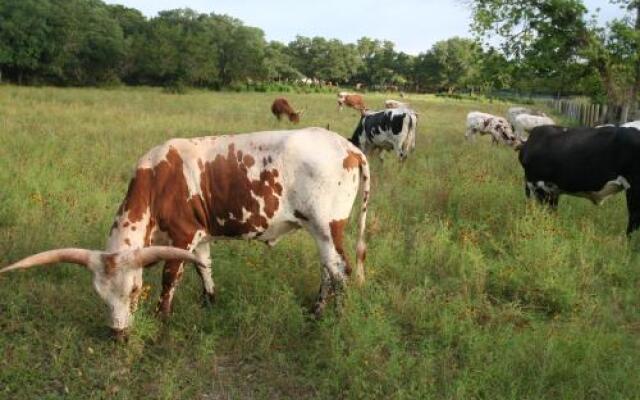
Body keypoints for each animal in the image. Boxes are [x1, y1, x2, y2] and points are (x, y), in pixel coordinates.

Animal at [1, 127, 370, 338]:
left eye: (134, 291)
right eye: (99, 295)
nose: (118, 334)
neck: (158, 180)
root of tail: (347, 147)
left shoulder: (183, 235)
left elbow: (170, 277)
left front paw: (161, 318)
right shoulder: (199, 236)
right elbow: (203, 267)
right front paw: (210, 303)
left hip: (326, 226)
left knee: (340, 272)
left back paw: (332, 320)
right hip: (320, 232)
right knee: (328, 270)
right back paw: (316, 311)